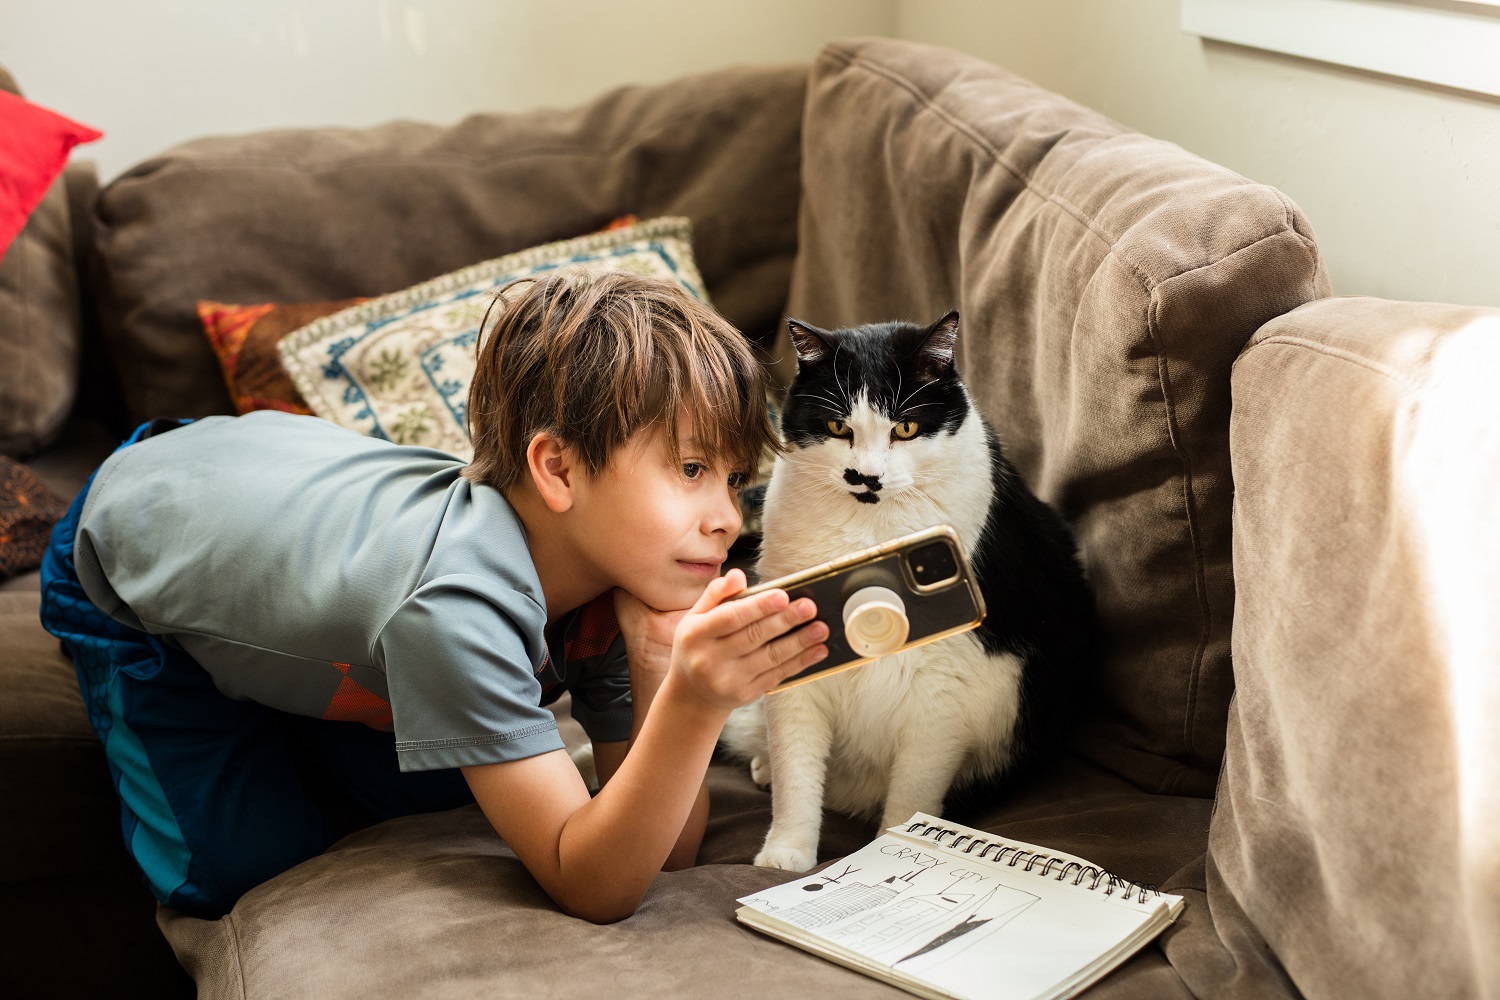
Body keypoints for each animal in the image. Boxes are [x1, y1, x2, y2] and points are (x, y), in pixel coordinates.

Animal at [720, 310, 1098, 869]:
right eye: (838, 427)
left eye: (906, 427)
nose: (865, 477)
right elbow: (796, 771)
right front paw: (785, 853)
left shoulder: (943, 686)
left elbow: (911, 797)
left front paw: (886, 855)